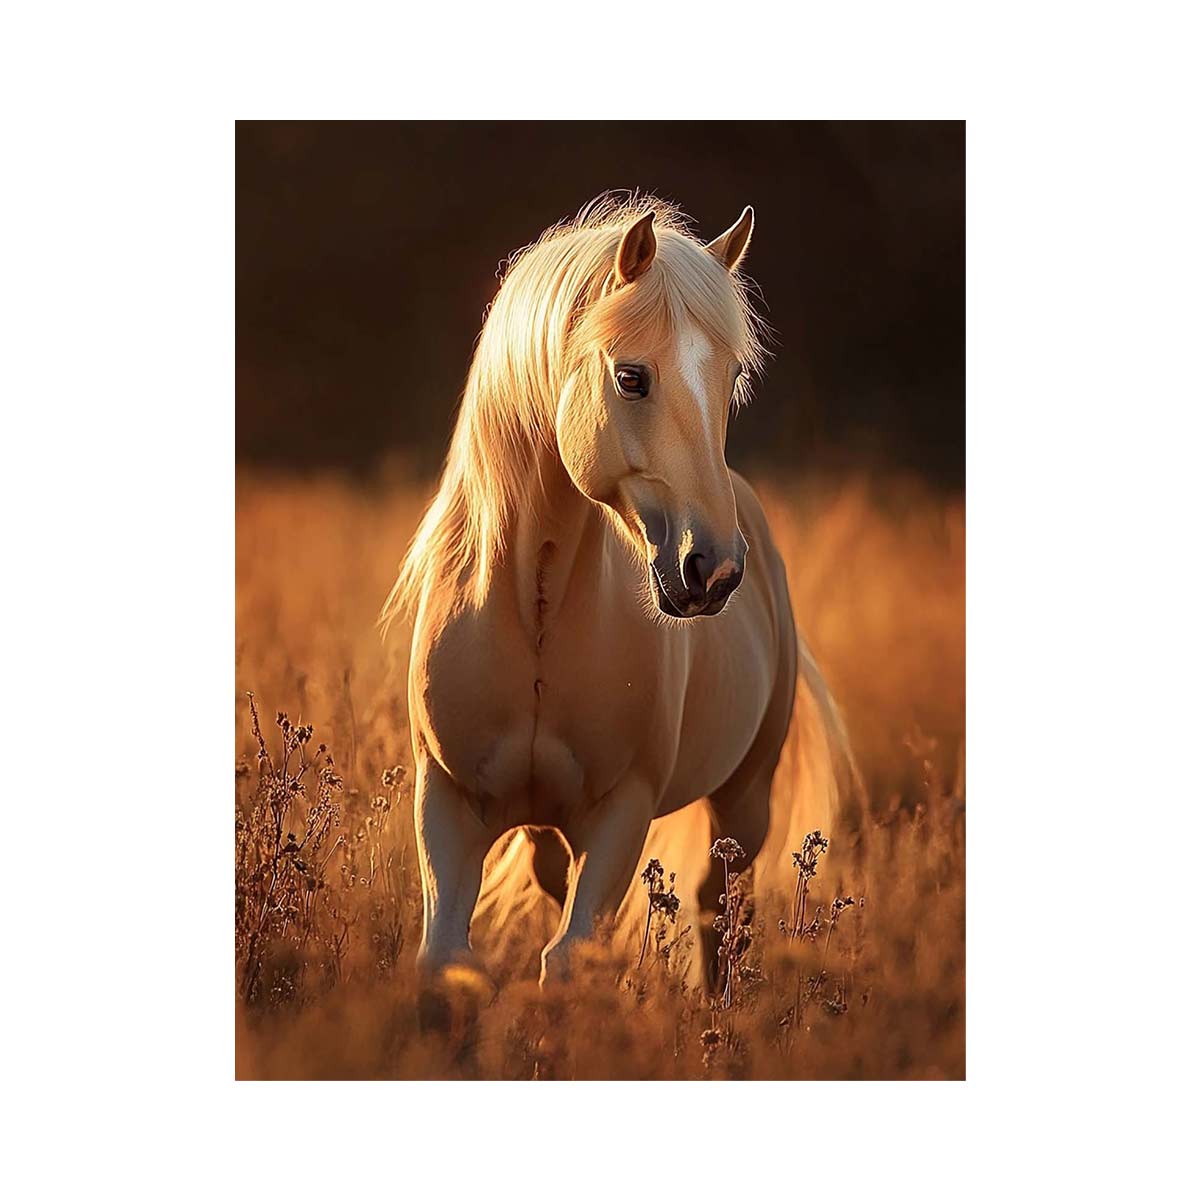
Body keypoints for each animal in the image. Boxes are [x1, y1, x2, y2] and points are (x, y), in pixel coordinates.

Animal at [383, 195, 845, 987]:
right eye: (632, 377)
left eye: (730, 379)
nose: (713, 571)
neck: (534, 609)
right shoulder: (446, 802)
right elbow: (444, 957)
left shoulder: (621, 812)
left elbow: (568, 958)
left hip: (744, 801)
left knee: (723, 915)